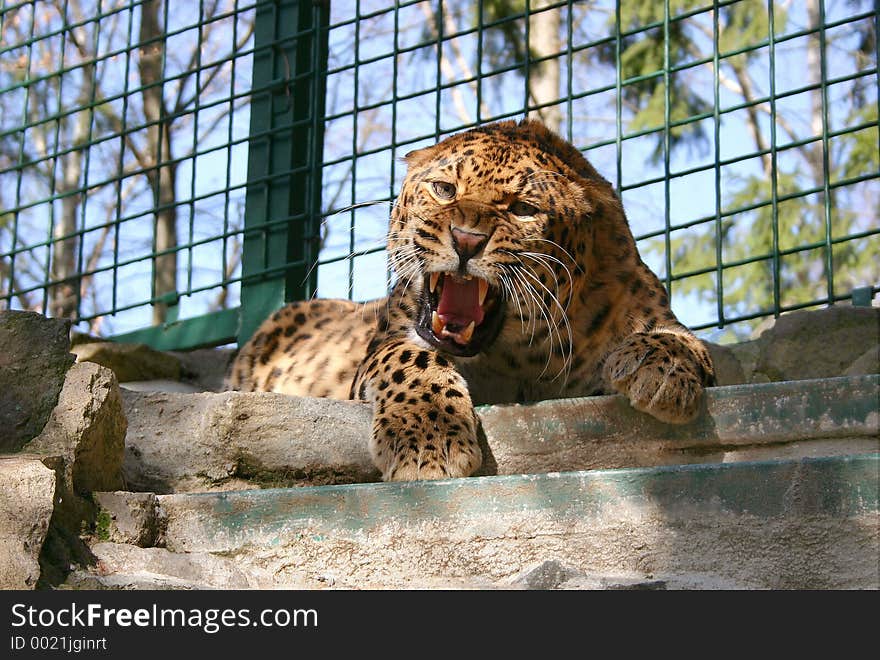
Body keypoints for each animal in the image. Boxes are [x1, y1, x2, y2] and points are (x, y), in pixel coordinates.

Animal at [225, 117, 716, 480]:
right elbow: (411, 359)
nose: (466, 239)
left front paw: (660, 371)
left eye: (523, 209)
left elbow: (679, 339)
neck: (518, 355)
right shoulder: (386, 343)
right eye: (444, 190)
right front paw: (428, 437)